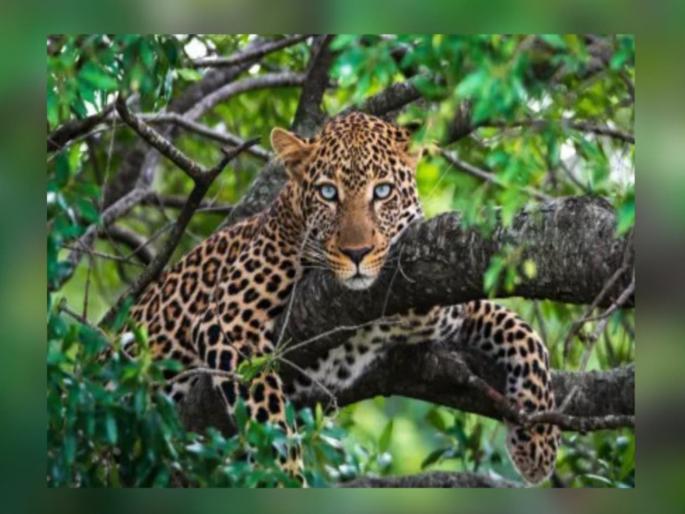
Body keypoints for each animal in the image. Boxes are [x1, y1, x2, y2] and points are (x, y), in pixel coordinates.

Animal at [126, 111, 560, 486]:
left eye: (382, 191)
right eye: (328, 192)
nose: (357, 253)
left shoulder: (433, 304)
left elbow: (522, 330)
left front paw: (538, 443)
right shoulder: (230, 318)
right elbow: (270, 418)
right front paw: (285, 481)